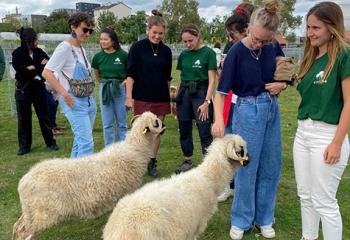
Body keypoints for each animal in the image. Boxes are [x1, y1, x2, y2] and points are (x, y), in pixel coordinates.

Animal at [13, 111, 166, 239]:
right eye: (156, 122)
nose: (164, 126)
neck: (135, 149)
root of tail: (24, 182)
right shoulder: (128, 190)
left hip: (31, 210)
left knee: (18, 227)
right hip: (44, 213)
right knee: (26, 231)